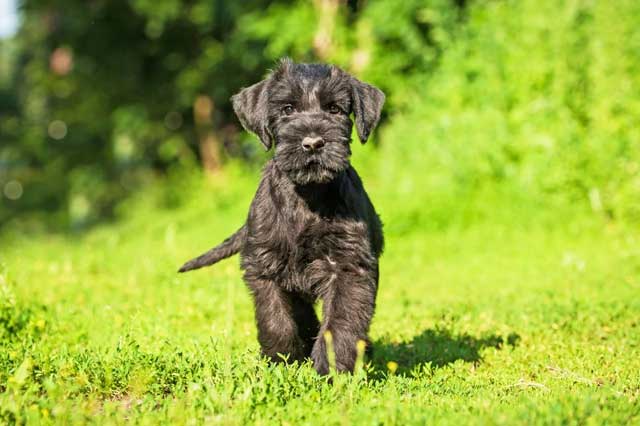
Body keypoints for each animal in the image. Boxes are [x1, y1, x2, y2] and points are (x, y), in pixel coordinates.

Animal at [178, 58, 382, 374]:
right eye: (287, 109)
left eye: (334, 109)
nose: (313, 143)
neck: (307, 197)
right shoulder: (264, 267)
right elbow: (276, 319)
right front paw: (281, 361)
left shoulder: (348, 266)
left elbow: (341, 322)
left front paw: (331, 369)